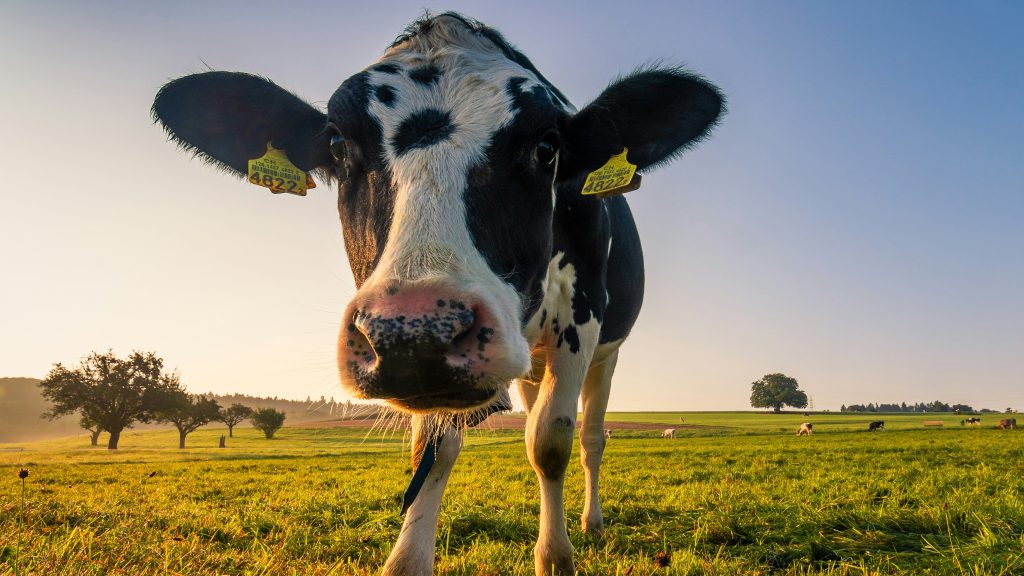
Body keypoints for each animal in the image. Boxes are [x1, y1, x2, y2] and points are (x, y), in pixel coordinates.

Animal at [151, 12, 722, 576]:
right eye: (337, 145)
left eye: (547, 149)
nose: (414, 333)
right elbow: (434, 449)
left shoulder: (580, 318)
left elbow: (551, 442)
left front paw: (556, 558)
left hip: (607, 352)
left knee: (590, 439)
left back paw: (591, 521)